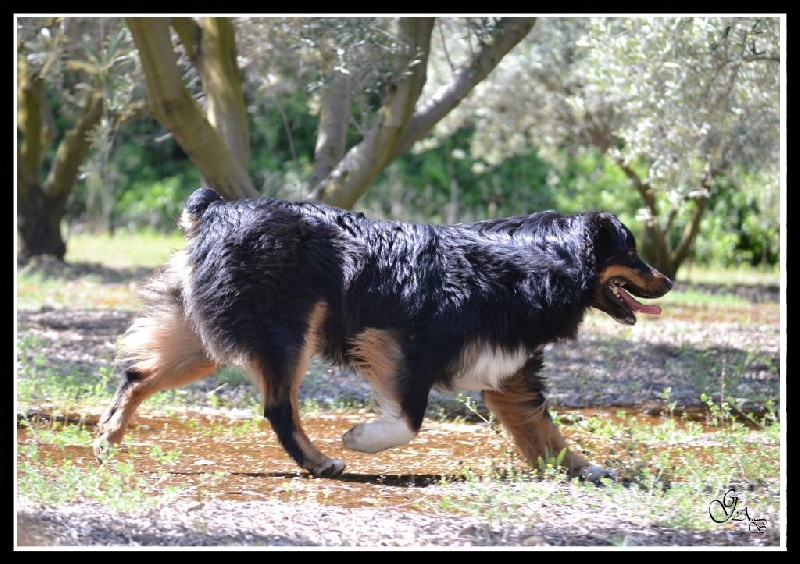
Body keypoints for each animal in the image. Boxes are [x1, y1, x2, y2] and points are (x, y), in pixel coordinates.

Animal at [94, 189, 672, 480]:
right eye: (632, 251)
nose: (668, 280)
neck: (533, 263)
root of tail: (215, 208)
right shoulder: (406, 342)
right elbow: (410, 419)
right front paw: (362, 438)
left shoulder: (510, 373)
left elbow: (545, 435)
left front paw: (590, 470)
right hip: (289, 328)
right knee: (278, 407)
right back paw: (320, 461)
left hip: (207, 334)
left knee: (138, 374)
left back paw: (108, 435)